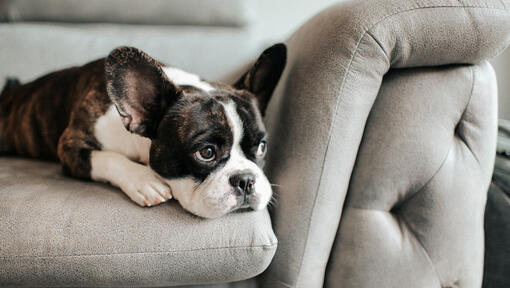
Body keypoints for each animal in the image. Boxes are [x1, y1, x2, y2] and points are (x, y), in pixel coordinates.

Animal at [0, 44, 286, 217]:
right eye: (206, 153)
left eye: (262, 147)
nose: (246, 179)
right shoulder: (71, 144)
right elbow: (107, 157)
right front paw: (143, 180)